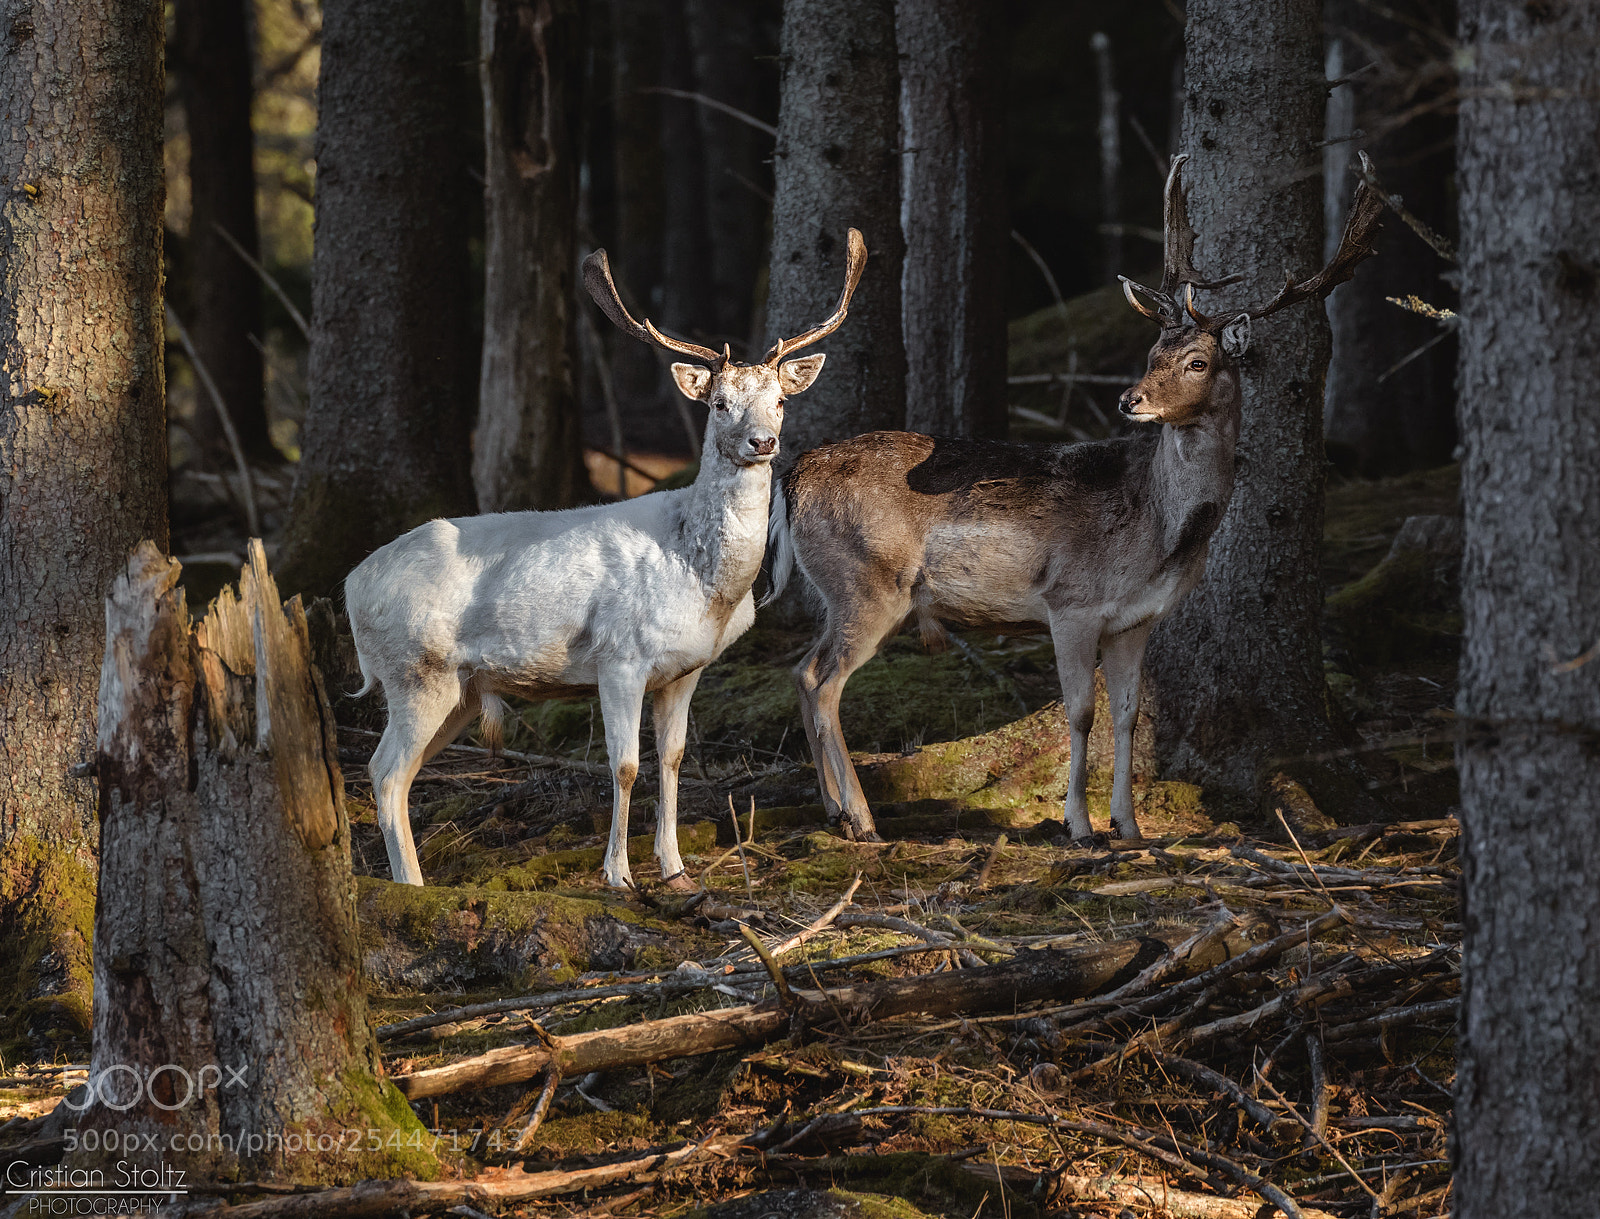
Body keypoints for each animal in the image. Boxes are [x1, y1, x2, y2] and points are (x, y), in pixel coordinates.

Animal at [346, 229, 868, 889]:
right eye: (719, 403)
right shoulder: (620, 657)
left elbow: (672, 759)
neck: (706, 585)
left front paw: (675, 869)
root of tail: (350, 584)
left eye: (778, 400)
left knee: (399, 774)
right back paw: (412, 887)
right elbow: (624, 766)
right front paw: (618, 876)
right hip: (416, 670)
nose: (763, 442)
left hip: (458, 690)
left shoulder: (686, 669)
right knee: (384, 770)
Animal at [766, 155, 1382, 843]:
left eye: (1197, 361)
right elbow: (1081, 713)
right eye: (1152, 353)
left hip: (842, 589)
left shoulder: (1137, 619)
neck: (1157, 531)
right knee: (821, 679)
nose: (1130, 398)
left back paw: (834, 809)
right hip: (867, 584)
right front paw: (1080, 825)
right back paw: (862, 818)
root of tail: (794, 475)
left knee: (801, 671)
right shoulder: (1071, 603)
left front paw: (1130, 827)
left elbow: (1129, 715)